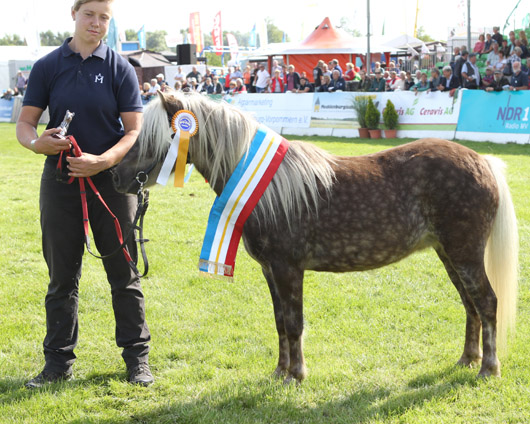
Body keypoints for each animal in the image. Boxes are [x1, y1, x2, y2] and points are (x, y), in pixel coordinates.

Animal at [112, 93, 516, 384]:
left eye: (152, 137)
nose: (117, 176)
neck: (268, 188)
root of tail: (482, 161)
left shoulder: (288, 269)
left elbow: (294, 322)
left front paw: (296, 375)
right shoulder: (270, 271)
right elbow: (279, 321)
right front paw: (280, 372)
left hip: (464, 254)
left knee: (487, 303)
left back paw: (488, 369)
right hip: (449, 255)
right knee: (470, 305)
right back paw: (467, 360)